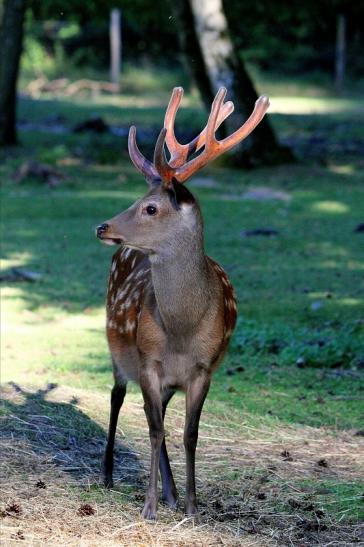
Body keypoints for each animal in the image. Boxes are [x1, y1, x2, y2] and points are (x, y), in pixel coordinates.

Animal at [95, 88, 268, 520]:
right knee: (118, 397)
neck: (182, 329)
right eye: (138, 199)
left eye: (151, 207)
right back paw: (107, 474)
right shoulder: (148, 361)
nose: (102, 227)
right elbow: (156, 430)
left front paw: (190, 505)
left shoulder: (202, 369)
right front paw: (149, 506)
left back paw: (172, 493)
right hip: (118, 348)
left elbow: (189, 434)